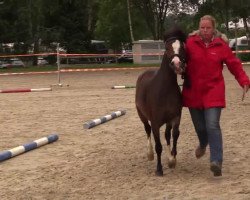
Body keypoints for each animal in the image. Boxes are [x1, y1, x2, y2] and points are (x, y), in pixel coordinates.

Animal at [135, 27, 186, 176]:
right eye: (167, 47)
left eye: (182, 47)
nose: (177, 64)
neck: (165, 90)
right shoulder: (155, 123)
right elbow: (158, 146)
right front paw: (159, 169)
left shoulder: (175, 118)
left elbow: (174, 135)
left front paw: (172, 160)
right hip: (142, 115)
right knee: (147, 130)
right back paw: (150, 154)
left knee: (167, 135)